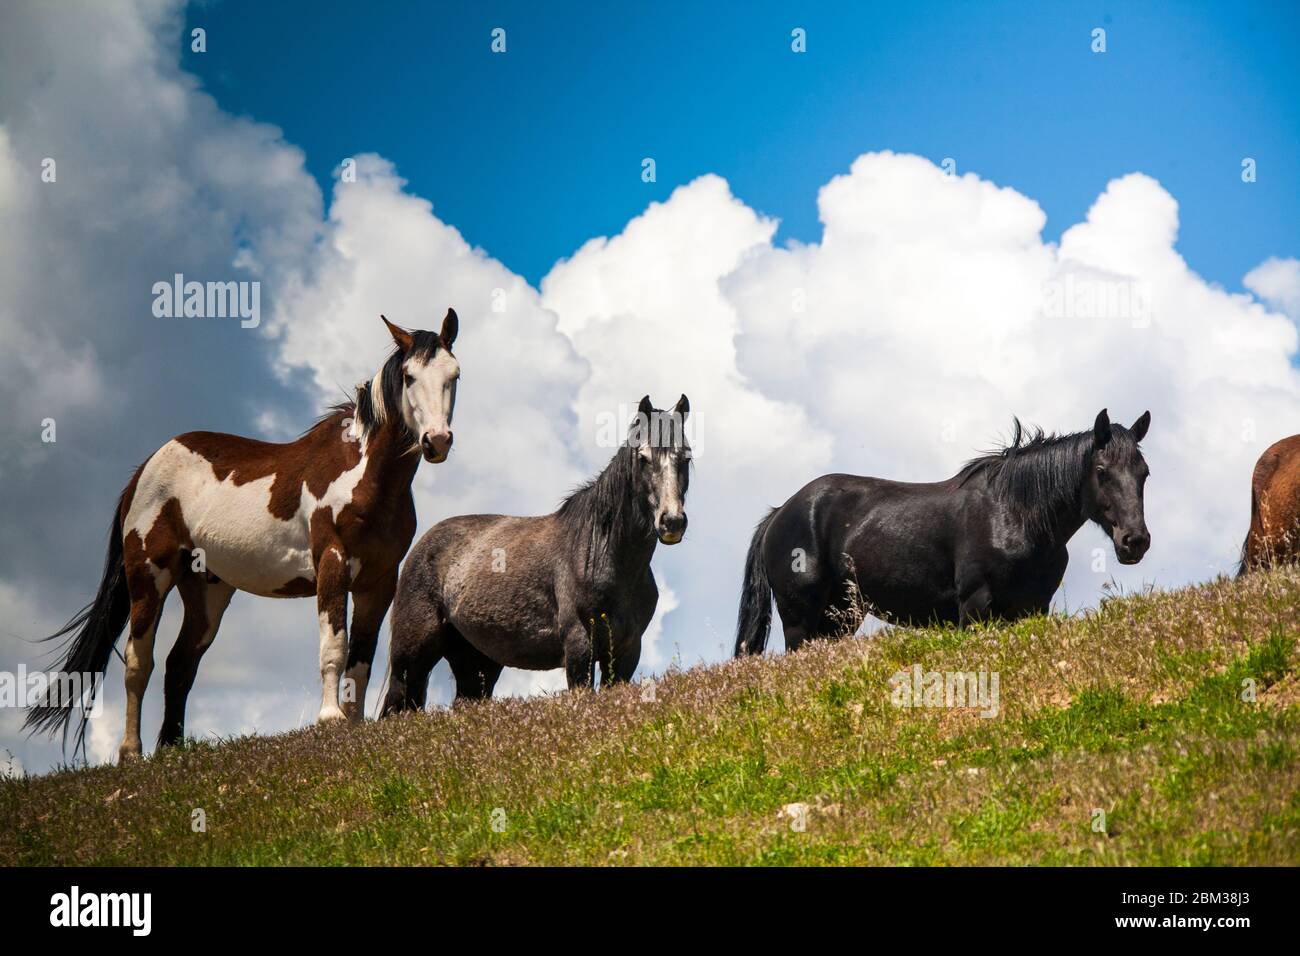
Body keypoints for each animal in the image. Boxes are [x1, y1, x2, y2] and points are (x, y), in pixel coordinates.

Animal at [25, 310, 465, 759]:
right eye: (409, 376)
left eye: (455, 374)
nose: (437, 441)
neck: (365, 477)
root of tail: (143, 471)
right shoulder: (333, 563)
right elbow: (334, 648)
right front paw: (330, 719)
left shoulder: (379, 581)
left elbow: (361, 659)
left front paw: (354, 722)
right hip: (149, 576)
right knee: (138, 661)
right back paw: (131, 751)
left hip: (207, 589)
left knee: (179, 665)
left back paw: (171, 748)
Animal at [379, 392, 691, 712]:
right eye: (643, 458)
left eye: (686, 457)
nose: (672, 522)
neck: (603, 556)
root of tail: (421, 546)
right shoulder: (579, 648)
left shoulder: (626, 652)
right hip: (412, 658)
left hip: (476, 663)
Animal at [738, 408, 1154, 655]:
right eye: (1101, 471)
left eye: (1144, 472)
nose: (1134, 541)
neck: (1014, 514)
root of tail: (779, 513)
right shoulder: (976, 606)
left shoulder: (1033, 608)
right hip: (800, 619)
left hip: (840, 617)